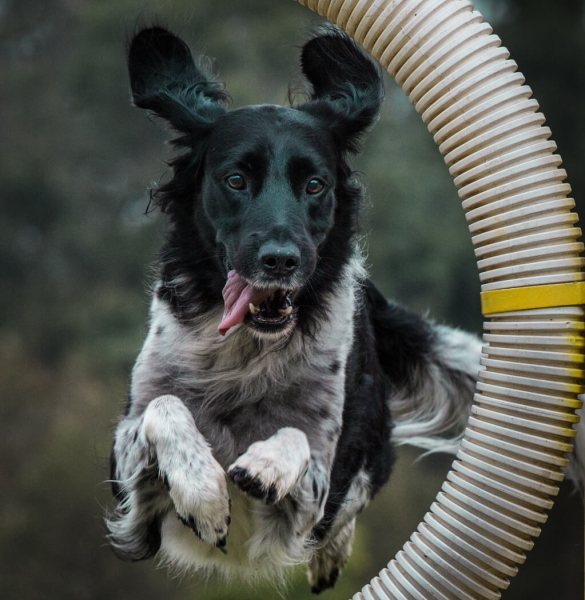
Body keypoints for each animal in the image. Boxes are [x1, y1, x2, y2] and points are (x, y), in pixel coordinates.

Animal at [106, 25, 488, 592]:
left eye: (314, 184)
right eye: (235, 180)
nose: (281, 260)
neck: (248, 351)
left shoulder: (317, 489)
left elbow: (300, 442)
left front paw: (265, 464)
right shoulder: (128, 476)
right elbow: (164, 407)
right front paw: (204, 495)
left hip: (370, 439)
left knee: (357, 494)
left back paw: (330, 555)